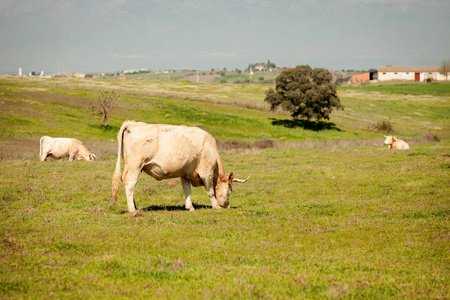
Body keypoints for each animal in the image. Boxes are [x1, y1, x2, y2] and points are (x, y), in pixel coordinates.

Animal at [110, 120, 248, 212]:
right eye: (230, 190)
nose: (228, 206)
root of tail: (132, 123)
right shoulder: (206, 172)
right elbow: (210, 191)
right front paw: (216, 206)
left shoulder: (185, 173)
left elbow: (187, 189)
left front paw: (190, 207)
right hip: (135, 166)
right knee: (130, 185)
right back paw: (132, 209)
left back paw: (134, 205)